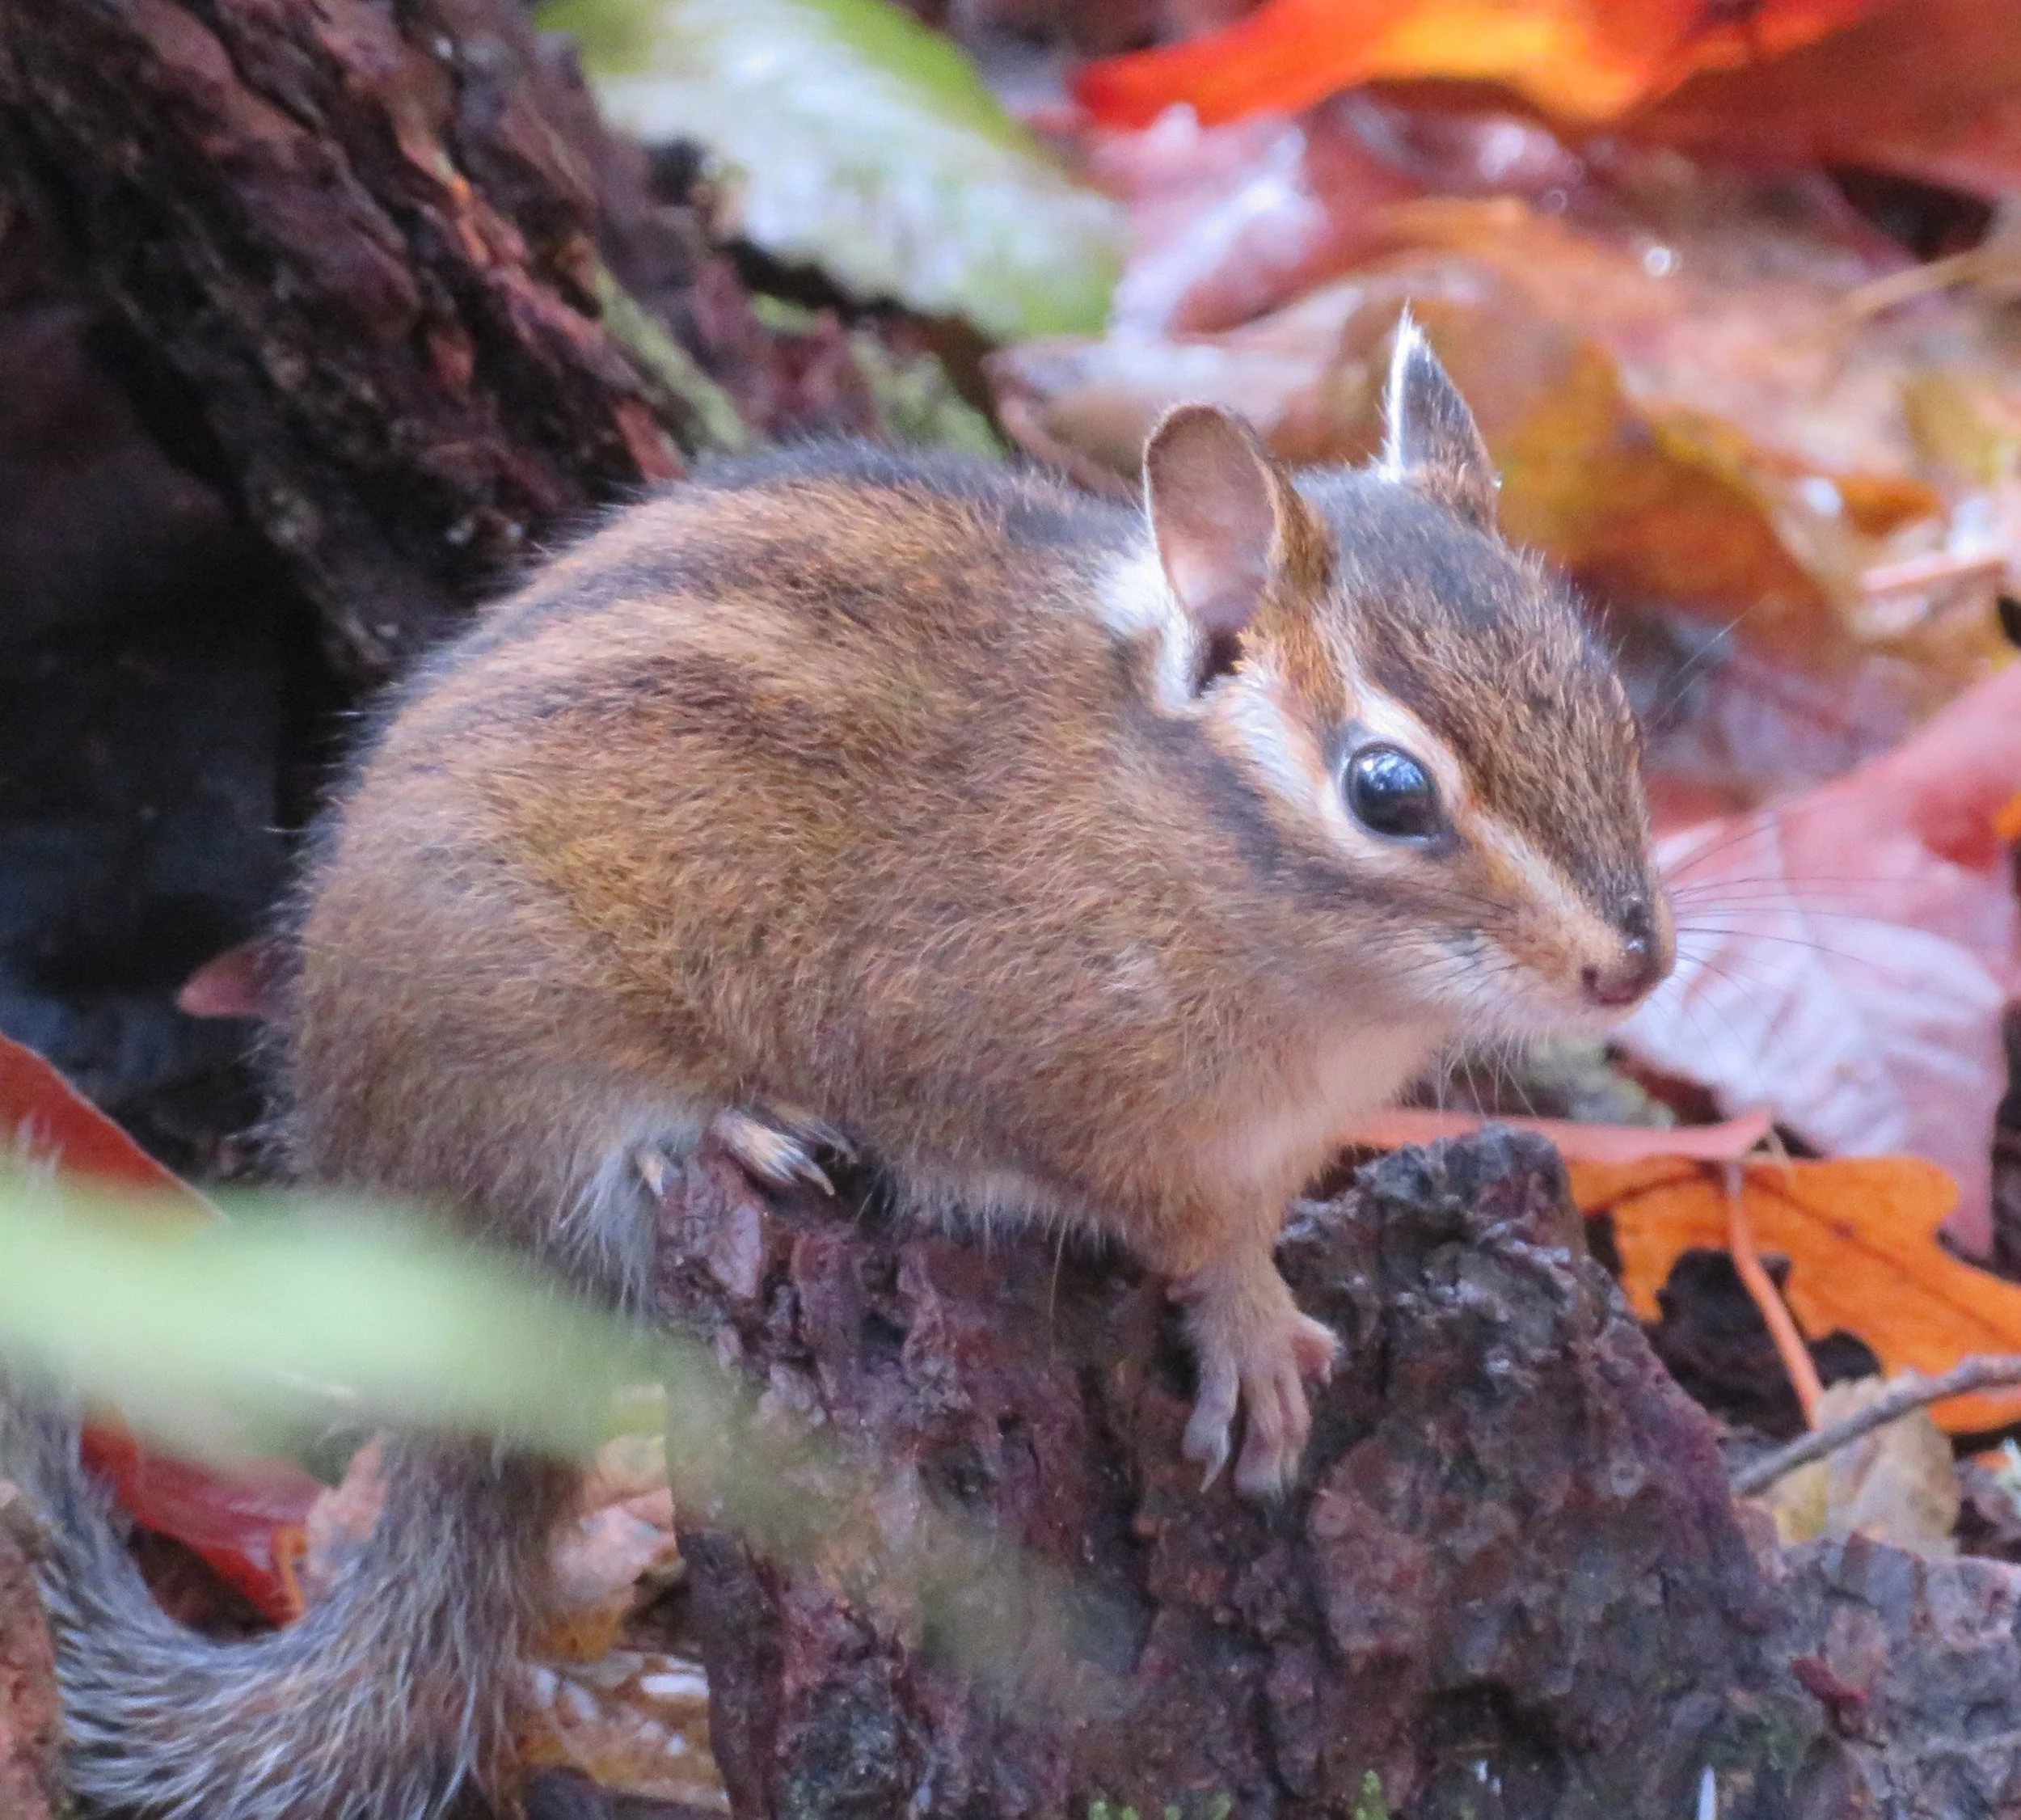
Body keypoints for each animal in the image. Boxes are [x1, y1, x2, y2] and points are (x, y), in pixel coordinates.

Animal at [5, 317, 1671, 1820]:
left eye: (1615, 704)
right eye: (1388, 790)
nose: (1635, 967)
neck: (1179, 834)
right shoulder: (1070, 1100)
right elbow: (1195, 1240)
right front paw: (1255, 1329)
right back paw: (729, 1133)